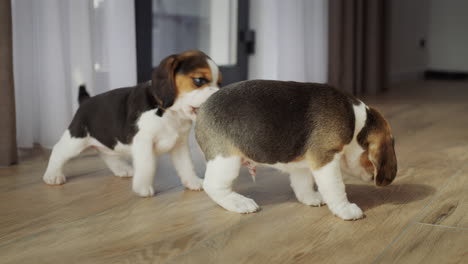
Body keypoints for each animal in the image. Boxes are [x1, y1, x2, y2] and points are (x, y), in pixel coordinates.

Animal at [42, 50, 221, 197]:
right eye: (199, 80)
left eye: (219, 83)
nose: (218, 95)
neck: (169, 113)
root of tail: (86, 101)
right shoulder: (144, 142)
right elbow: (148, 165)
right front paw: (142, 188)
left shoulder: (180, 144)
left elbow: (186, 165)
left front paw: (193, 182)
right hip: (75, 139)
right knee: (58, 151)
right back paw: (52, 175)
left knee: (106, 153)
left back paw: (122, 169)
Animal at [196, 80, 396, 221]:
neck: (358, 123)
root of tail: (203, 106)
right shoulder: (325, 158)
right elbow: (336, 187)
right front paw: (345, 209)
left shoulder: (303, 163)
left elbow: (303, 183)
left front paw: (310, 197)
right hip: (226, 161)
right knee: (213, 186)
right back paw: (238, 202)